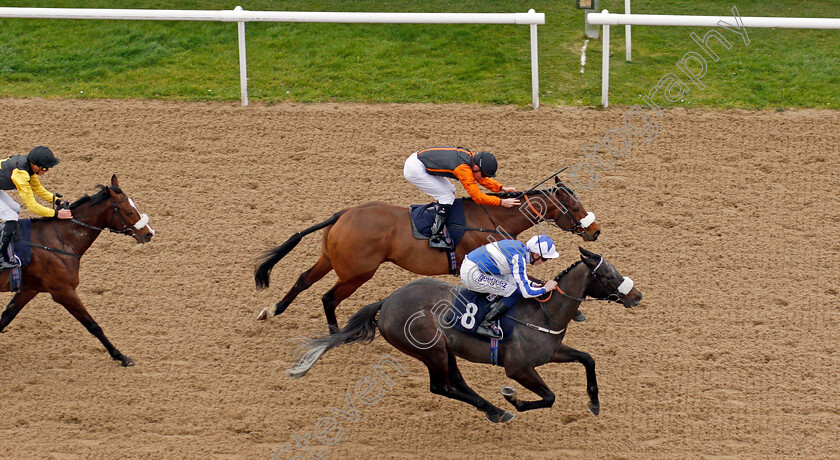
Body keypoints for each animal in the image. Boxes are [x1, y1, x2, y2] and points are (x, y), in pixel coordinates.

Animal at [0, 176, 154, 366]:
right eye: (129, 212)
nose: (149, 233)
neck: (59, 241)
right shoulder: (63, 291)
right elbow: (93, 325)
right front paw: (121, 357)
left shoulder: (29, 289)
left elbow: (6, 316)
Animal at [254, 175, 596, 330]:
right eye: (575, 207)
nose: (596, 231)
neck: (491, 218)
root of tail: (343, 214)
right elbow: (532, 280)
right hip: (357, 273)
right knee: (328, 297)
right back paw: (335, 334)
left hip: (331, 260)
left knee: (302, 280)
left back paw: (273, 309)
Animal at [286, 248, 640, 424]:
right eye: (609, 275)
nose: (636, 296)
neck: (543, 313)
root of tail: (386, 302)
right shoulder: (519, 368)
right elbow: (549, 397)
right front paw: (513, 399)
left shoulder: (552, 351)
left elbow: (588, 359)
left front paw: (594, 403)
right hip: (430, 351)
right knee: (440, 386)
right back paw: (498, 409)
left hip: (445, 349)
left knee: (455, 382)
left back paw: (492, 410)